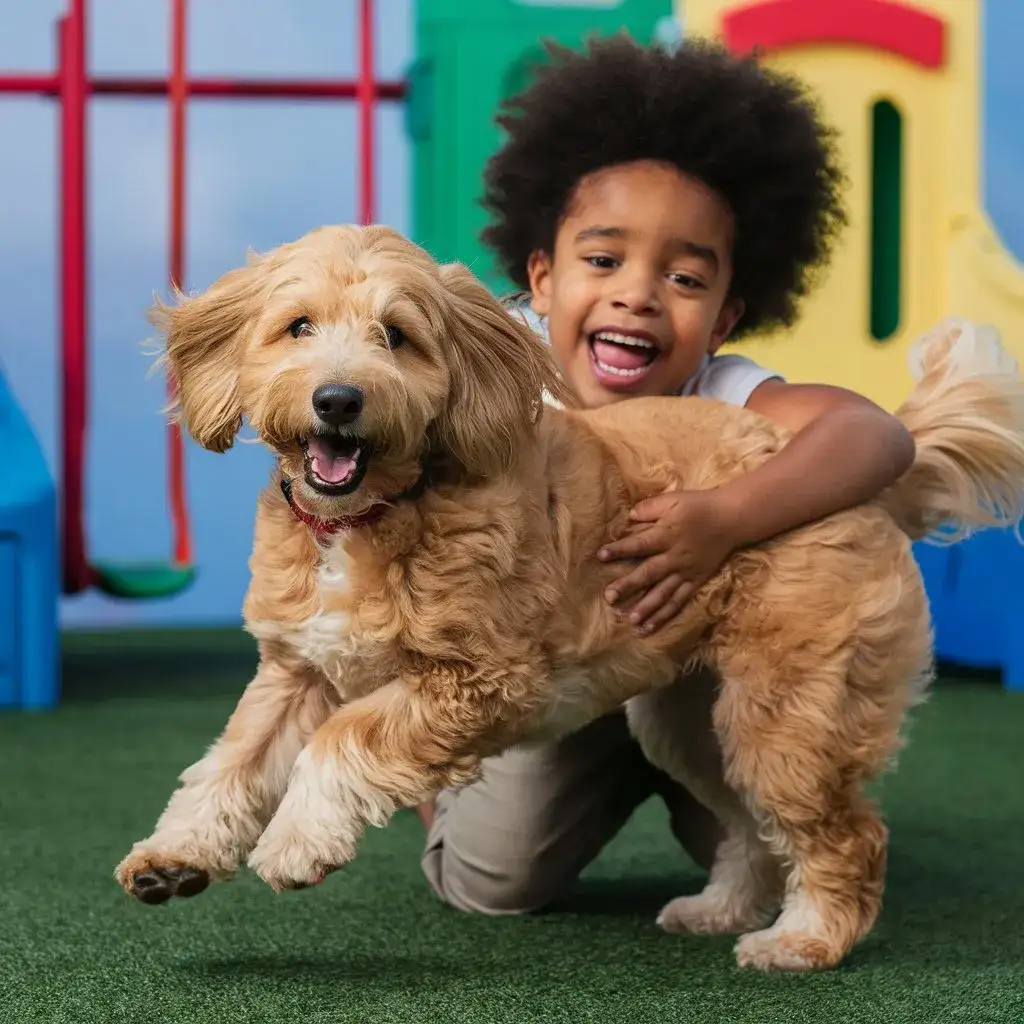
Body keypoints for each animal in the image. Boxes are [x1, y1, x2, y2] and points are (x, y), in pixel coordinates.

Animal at [116, 226, 1024, 974]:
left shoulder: (481, 681)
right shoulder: (295, 669)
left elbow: (340, 742)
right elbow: (231, 764)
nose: (338, 399)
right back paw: (722, 908)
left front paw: (297, 844)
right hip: (698, 725)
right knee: (750, 828)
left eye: (397, 337)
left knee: (848, 836)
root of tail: (875, 482)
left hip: (791, 716)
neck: (374, 514)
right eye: (298, 326)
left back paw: (803, 940)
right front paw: (176, 853)